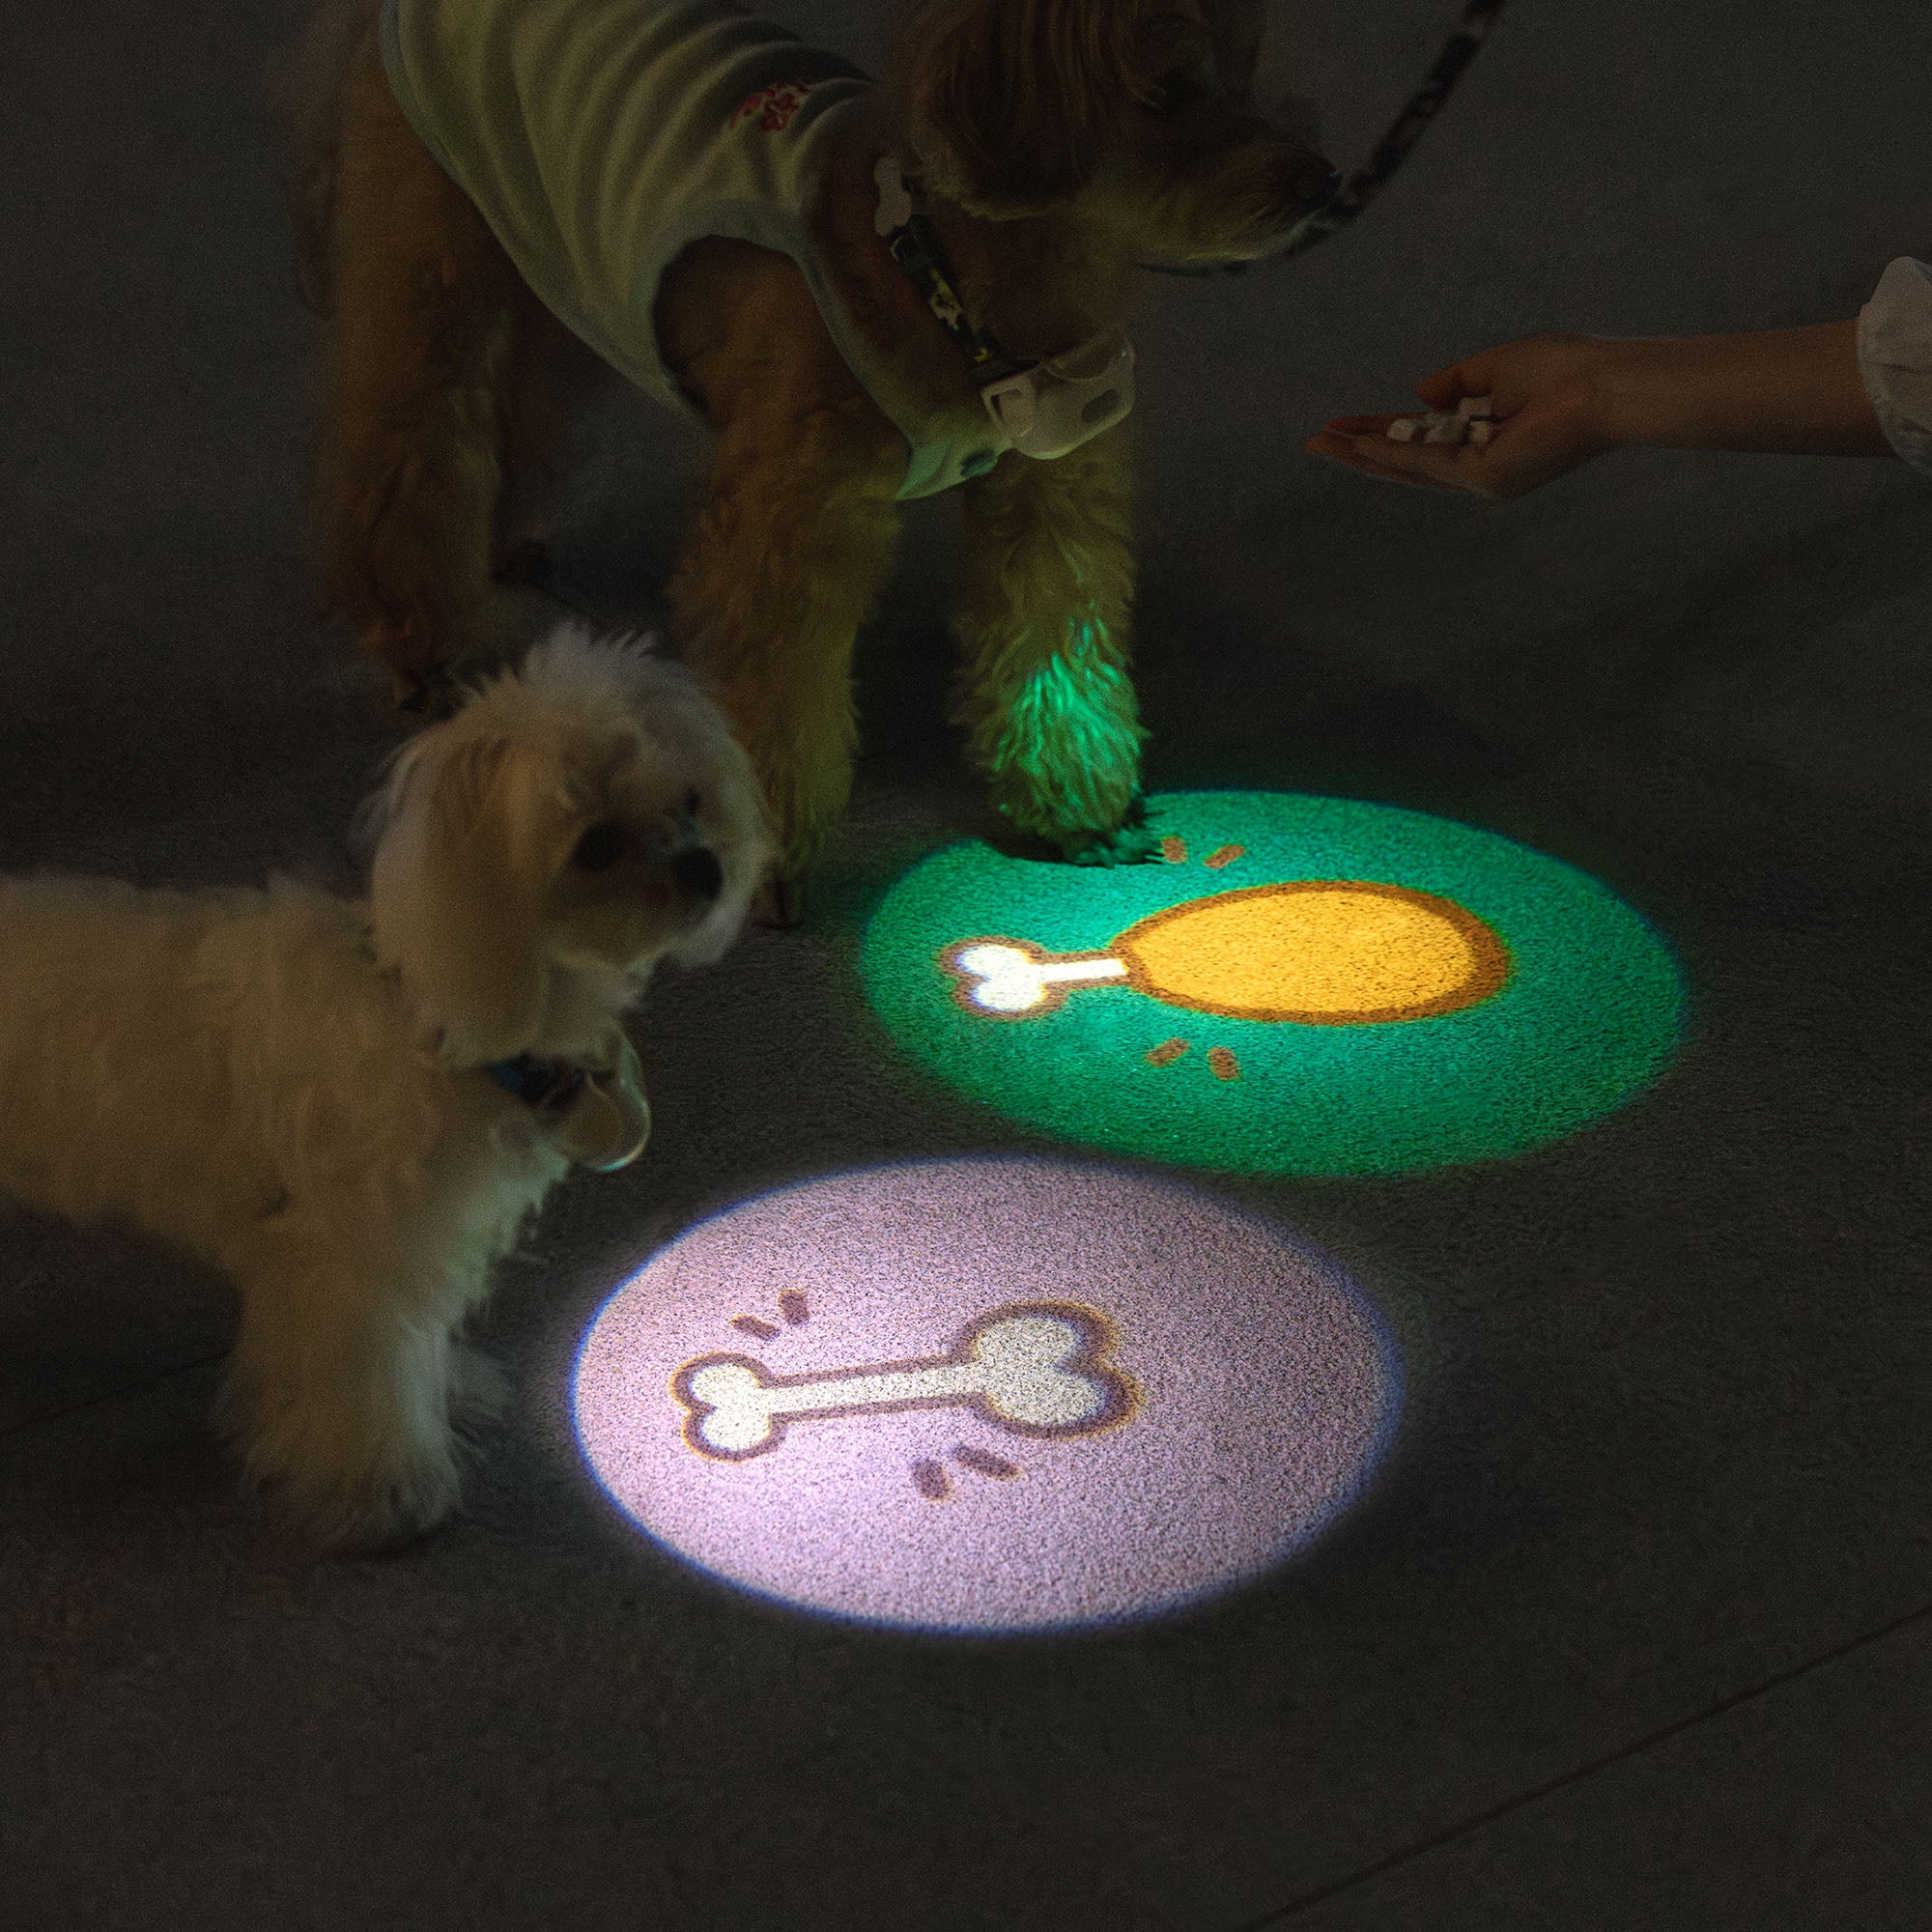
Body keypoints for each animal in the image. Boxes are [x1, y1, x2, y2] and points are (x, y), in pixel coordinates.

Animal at [0, 630, 769, 1553]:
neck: (433, 1015)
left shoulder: (418, 1244)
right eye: (593, 848)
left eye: (689, 800)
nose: (704, 865)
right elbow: (368, 1384)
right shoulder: (353, 1267)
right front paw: (381, 1491)